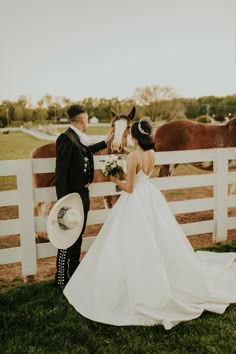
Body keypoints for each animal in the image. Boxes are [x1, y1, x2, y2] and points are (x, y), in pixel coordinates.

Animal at [31, 107, 135, 241]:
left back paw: (44, 236)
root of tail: (36, 151)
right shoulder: (106, 194)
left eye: (128, 126)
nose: (116, 147)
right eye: (113, 125)